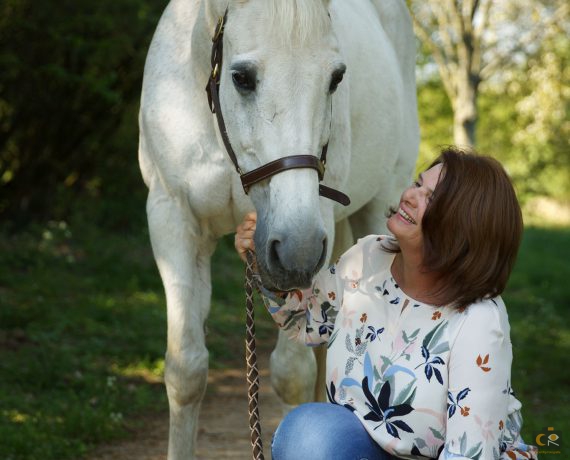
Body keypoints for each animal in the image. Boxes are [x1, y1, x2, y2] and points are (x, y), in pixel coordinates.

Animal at [139, 0, 418, 456]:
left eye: (336, 78)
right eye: (241, 77)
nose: (296, 250)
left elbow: (292, 375)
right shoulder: (173, 220)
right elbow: (186, 373)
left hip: (380, 207)